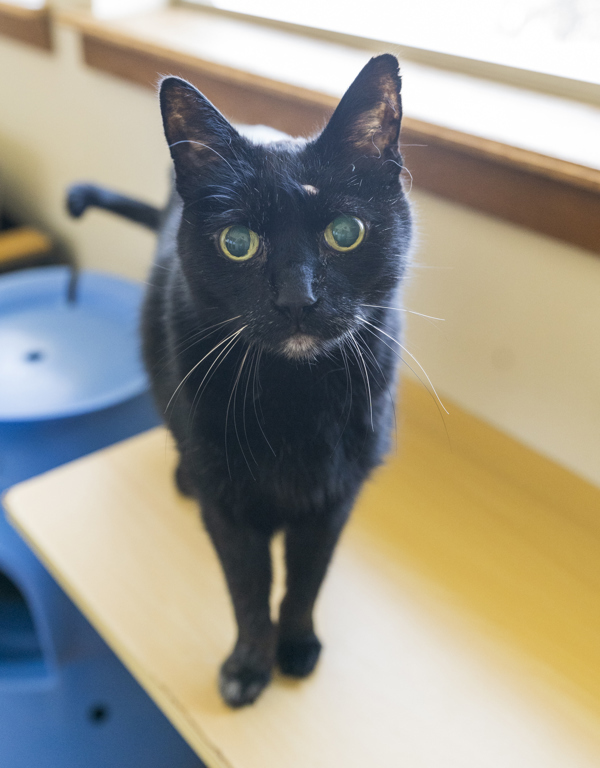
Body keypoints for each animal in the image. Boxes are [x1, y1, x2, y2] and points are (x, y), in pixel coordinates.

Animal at [68, 54, 410, 712]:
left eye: (345, 231)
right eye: (237, 243)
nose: (298, 299)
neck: (295, 399)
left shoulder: (332, 500)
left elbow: (305, 582)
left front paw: (296, 647)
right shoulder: (229, 509)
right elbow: (248, 590)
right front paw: (248, 667)